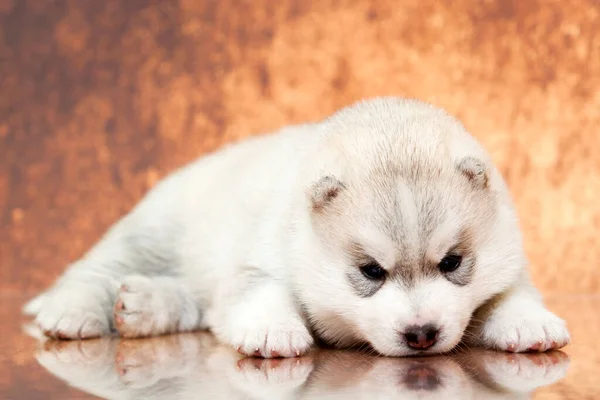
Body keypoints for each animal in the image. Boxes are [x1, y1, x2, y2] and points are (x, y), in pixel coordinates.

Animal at [23, 97, 568, 360]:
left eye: (452, 263)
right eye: (371, 272)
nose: (421, 334)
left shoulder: (509, 258)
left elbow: (510, 292)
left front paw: (528, 321)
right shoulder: (259, 260)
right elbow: (263, 292)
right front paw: (274, 330)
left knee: (196, 303)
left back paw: (143, 306)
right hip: (153, 232)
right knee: (93, 269)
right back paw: (73, 312)